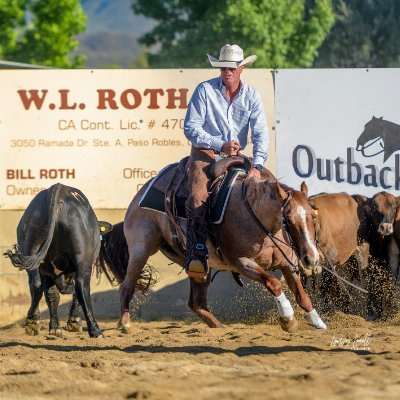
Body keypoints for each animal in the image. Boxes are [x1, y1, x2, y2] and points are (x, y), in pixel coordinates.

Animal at [4, 184, 103, 338]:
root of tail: (58, 189)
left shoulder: (49, 272)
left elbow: (52, 295)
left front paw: (55, 327)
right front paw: (73, 322)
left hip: (34, 252)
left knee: (37, 285)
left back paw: (32, 322)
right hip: (83, 258)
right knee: (81, 285)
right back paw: (95, 330)